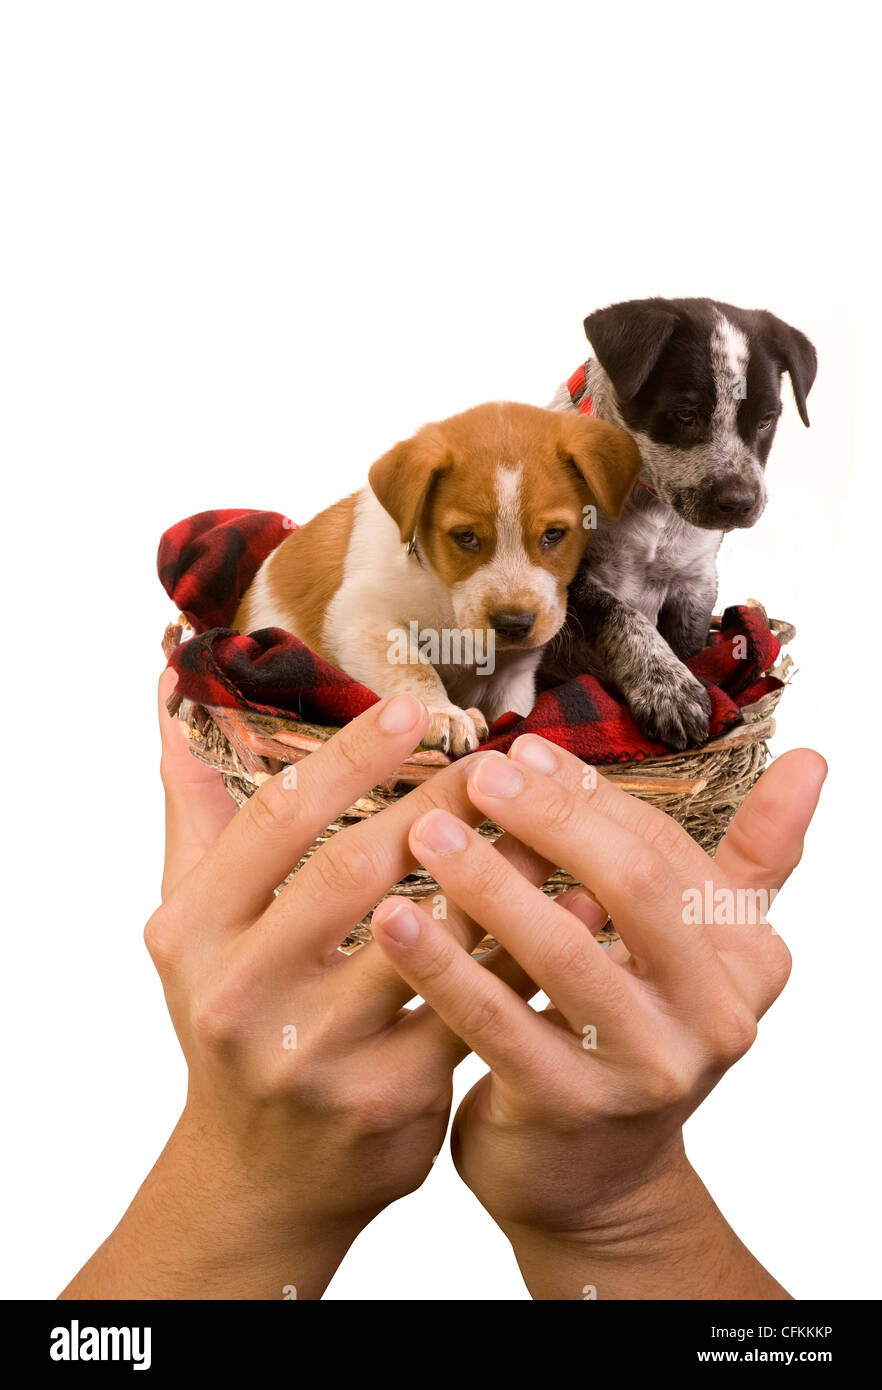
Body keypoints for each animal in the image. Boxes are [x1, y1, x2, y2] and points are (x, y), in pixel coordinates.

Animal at [234, 397, 641, 756]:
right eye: (466, 536)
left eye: (553, 534)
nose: (513, 624)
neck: (446, 598)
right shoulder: (360, 616)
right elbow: (412, 666)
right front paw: (443, 714)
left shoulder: (513, 682)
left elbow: (514, 712)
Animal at [544, 296, 822, 750]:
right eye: (686, 415)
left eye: (766, 421)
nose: (740, 502)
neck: (649, 504)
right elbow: (623, 616)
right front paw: (668, 688)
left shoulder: (695, 581)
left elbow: (694, 649)